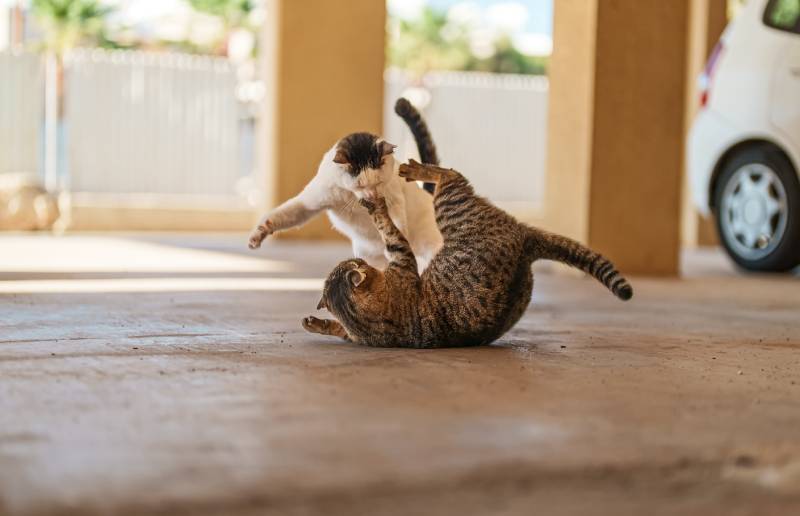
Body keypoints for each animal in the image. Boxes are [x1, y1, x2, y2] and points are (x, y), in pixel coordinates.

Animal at [247, 98, 440, 272]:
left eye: (378, 182)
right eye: (360, 185)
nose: (372, 196)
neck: (352, 196)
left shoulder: (395, 200)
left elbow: (398, 223)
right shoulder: (310, 203)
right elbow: (282, 215)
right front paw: (258, 234)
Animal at [304, 159, 636, 348]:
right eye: (355, 262)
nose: (358, 261)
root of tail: (523, 237)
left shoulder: (400, 261)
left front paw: (316, 324)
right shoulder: (401, 258)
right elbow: (389, 230)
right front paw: (321, 324)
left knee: (450, 174)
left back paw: (415, 169)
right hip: (452, 206)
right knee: (451, 176)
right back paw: (416, 170)